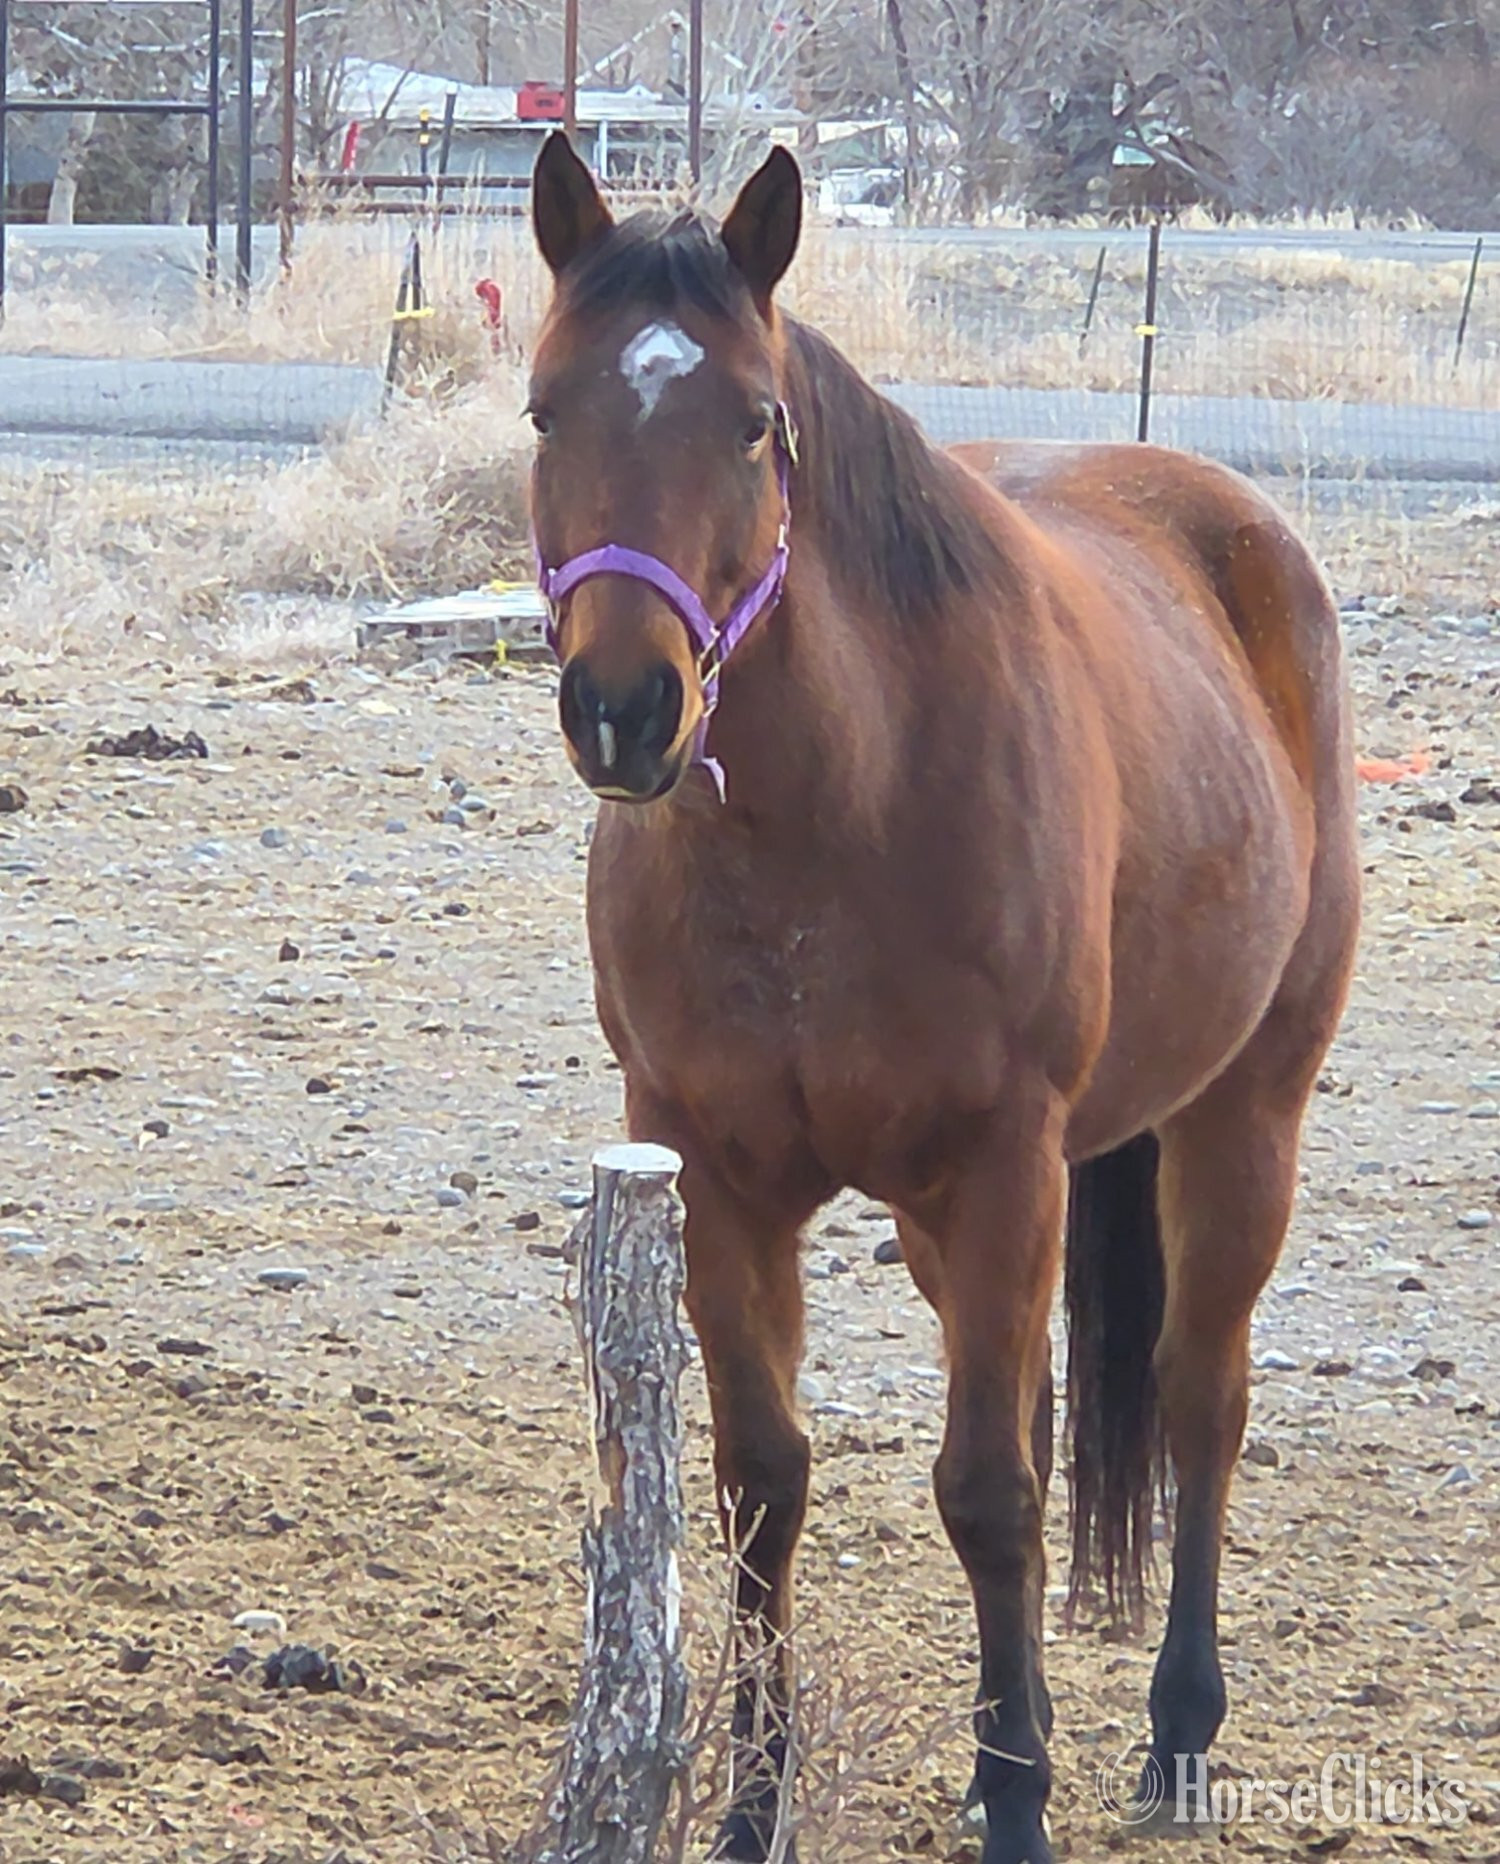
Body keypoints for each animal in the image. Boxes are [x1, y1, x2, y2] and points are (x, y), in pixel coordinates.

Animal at [526, 132, 1359, 1863]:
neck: (829, 825)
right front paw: (755, 1805)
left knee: (1200, 1400)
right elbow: (763, 1482)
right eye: (545, 409)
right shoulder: (714, 1176)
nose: (625, 707)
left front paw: (1021, 1806)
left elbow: (989, 1492)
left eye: (755, 419)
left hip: (1239, 1121)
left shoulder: (1004, 1166)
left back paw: (1178, 1736)